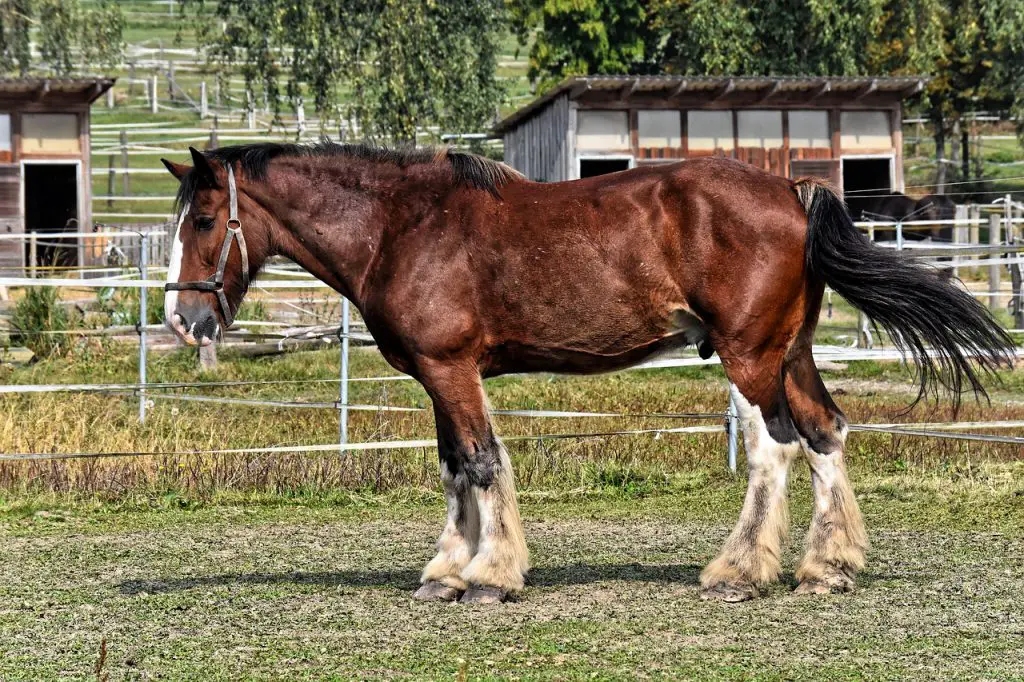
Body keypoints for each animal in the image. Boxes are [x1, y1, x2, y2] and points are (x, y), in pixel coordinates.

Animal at [159, 143, 1015, 602]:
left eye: (204, 219)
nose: (182, 320)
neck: (401, 228)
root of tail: (790, 188)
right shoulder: (437, 375)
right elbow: (453, 468)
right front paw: (446, 571)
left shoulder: (451, 370)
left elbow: (480, 462)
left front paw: (491, 575)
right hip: (791, 351)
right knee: (824, 433)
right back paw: (826, 568)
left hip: (750, 357)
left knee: (774, 450)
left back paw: (739, 572)